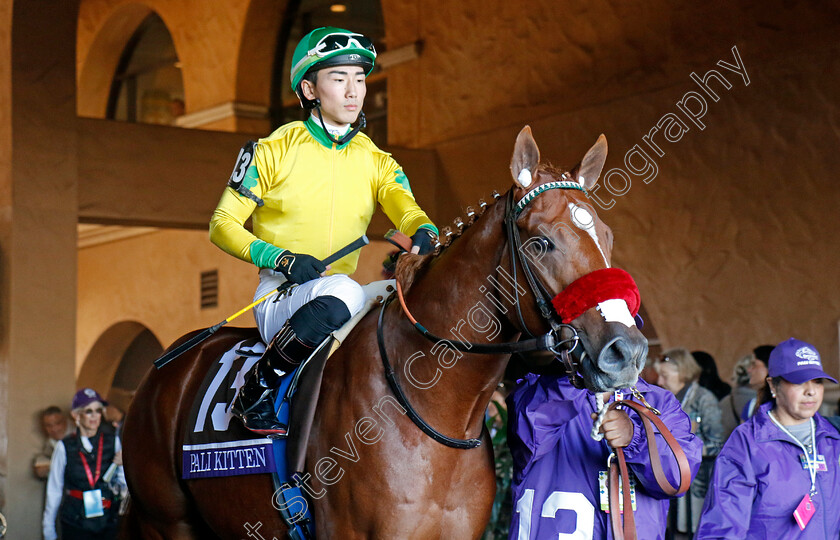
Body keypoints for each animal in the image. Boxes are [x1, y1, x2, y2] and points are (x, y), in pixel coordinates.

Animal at [121, 125, 648, 536]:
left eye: (607, 236)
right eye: (540, 243)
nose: (626, 351)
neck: (434, 411)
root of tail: (165, 367)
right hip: (166, 522)